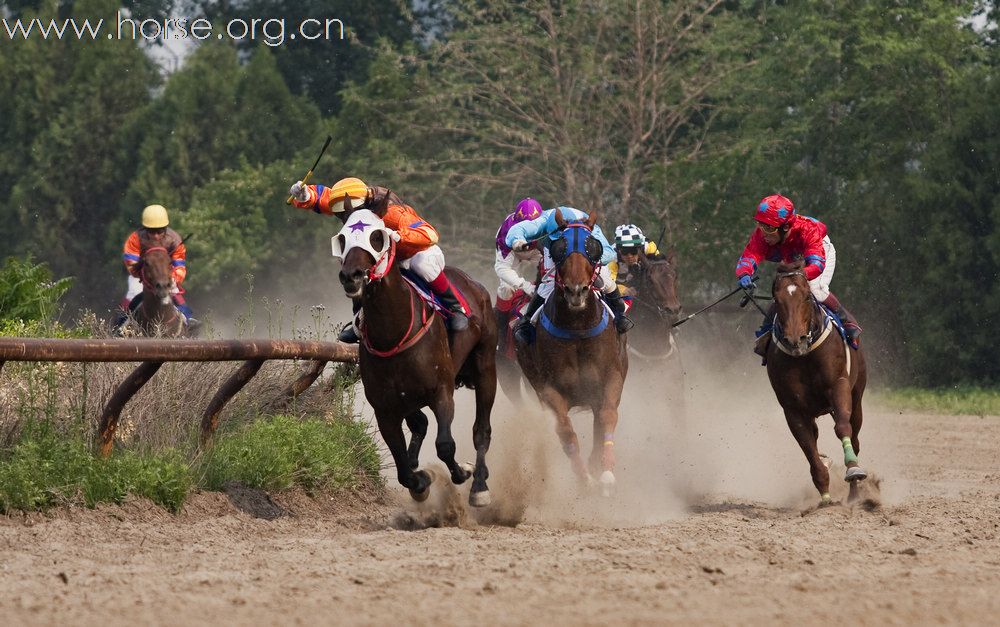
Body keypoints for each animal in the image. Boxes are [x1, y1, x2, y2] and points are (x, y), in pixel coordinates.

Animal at [334, 209, 498, 508]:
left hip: (486, 365)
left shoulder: (442, 392)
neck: (393, 333)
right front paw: (420, 481)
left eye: (377, 237)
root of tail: (473, 283)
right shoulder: (385, 409)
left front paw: (464, 472)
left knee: (481, 429)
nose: (351, 276)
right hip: (408, 398)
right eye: (342, 239)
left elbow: (445, 446)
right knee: (419, 424)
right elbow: (402, 468)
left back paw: (479, 484)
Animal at [516, 210, 624, 496]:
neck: (577, 330)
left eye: (593, 246)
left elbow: (607, 416)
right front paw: (584, 478)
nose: (577, 290)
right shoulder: (549, 390)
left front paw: (606, 471)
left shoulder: (611, 378)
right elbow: (564, 430)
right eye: (560, 247)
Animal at [768, 262, 864, 506]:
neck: (806, 356)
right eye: (777, 299)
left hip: (857, 397)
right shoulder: (792, 408)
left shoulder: (839, 386)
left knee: (855, 437)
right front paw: (825, 497)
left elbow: (842, 427)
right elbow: (808, 447)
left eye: (806, 297)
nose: (796, 340)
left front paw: (853, 470)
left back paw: (855, 493)